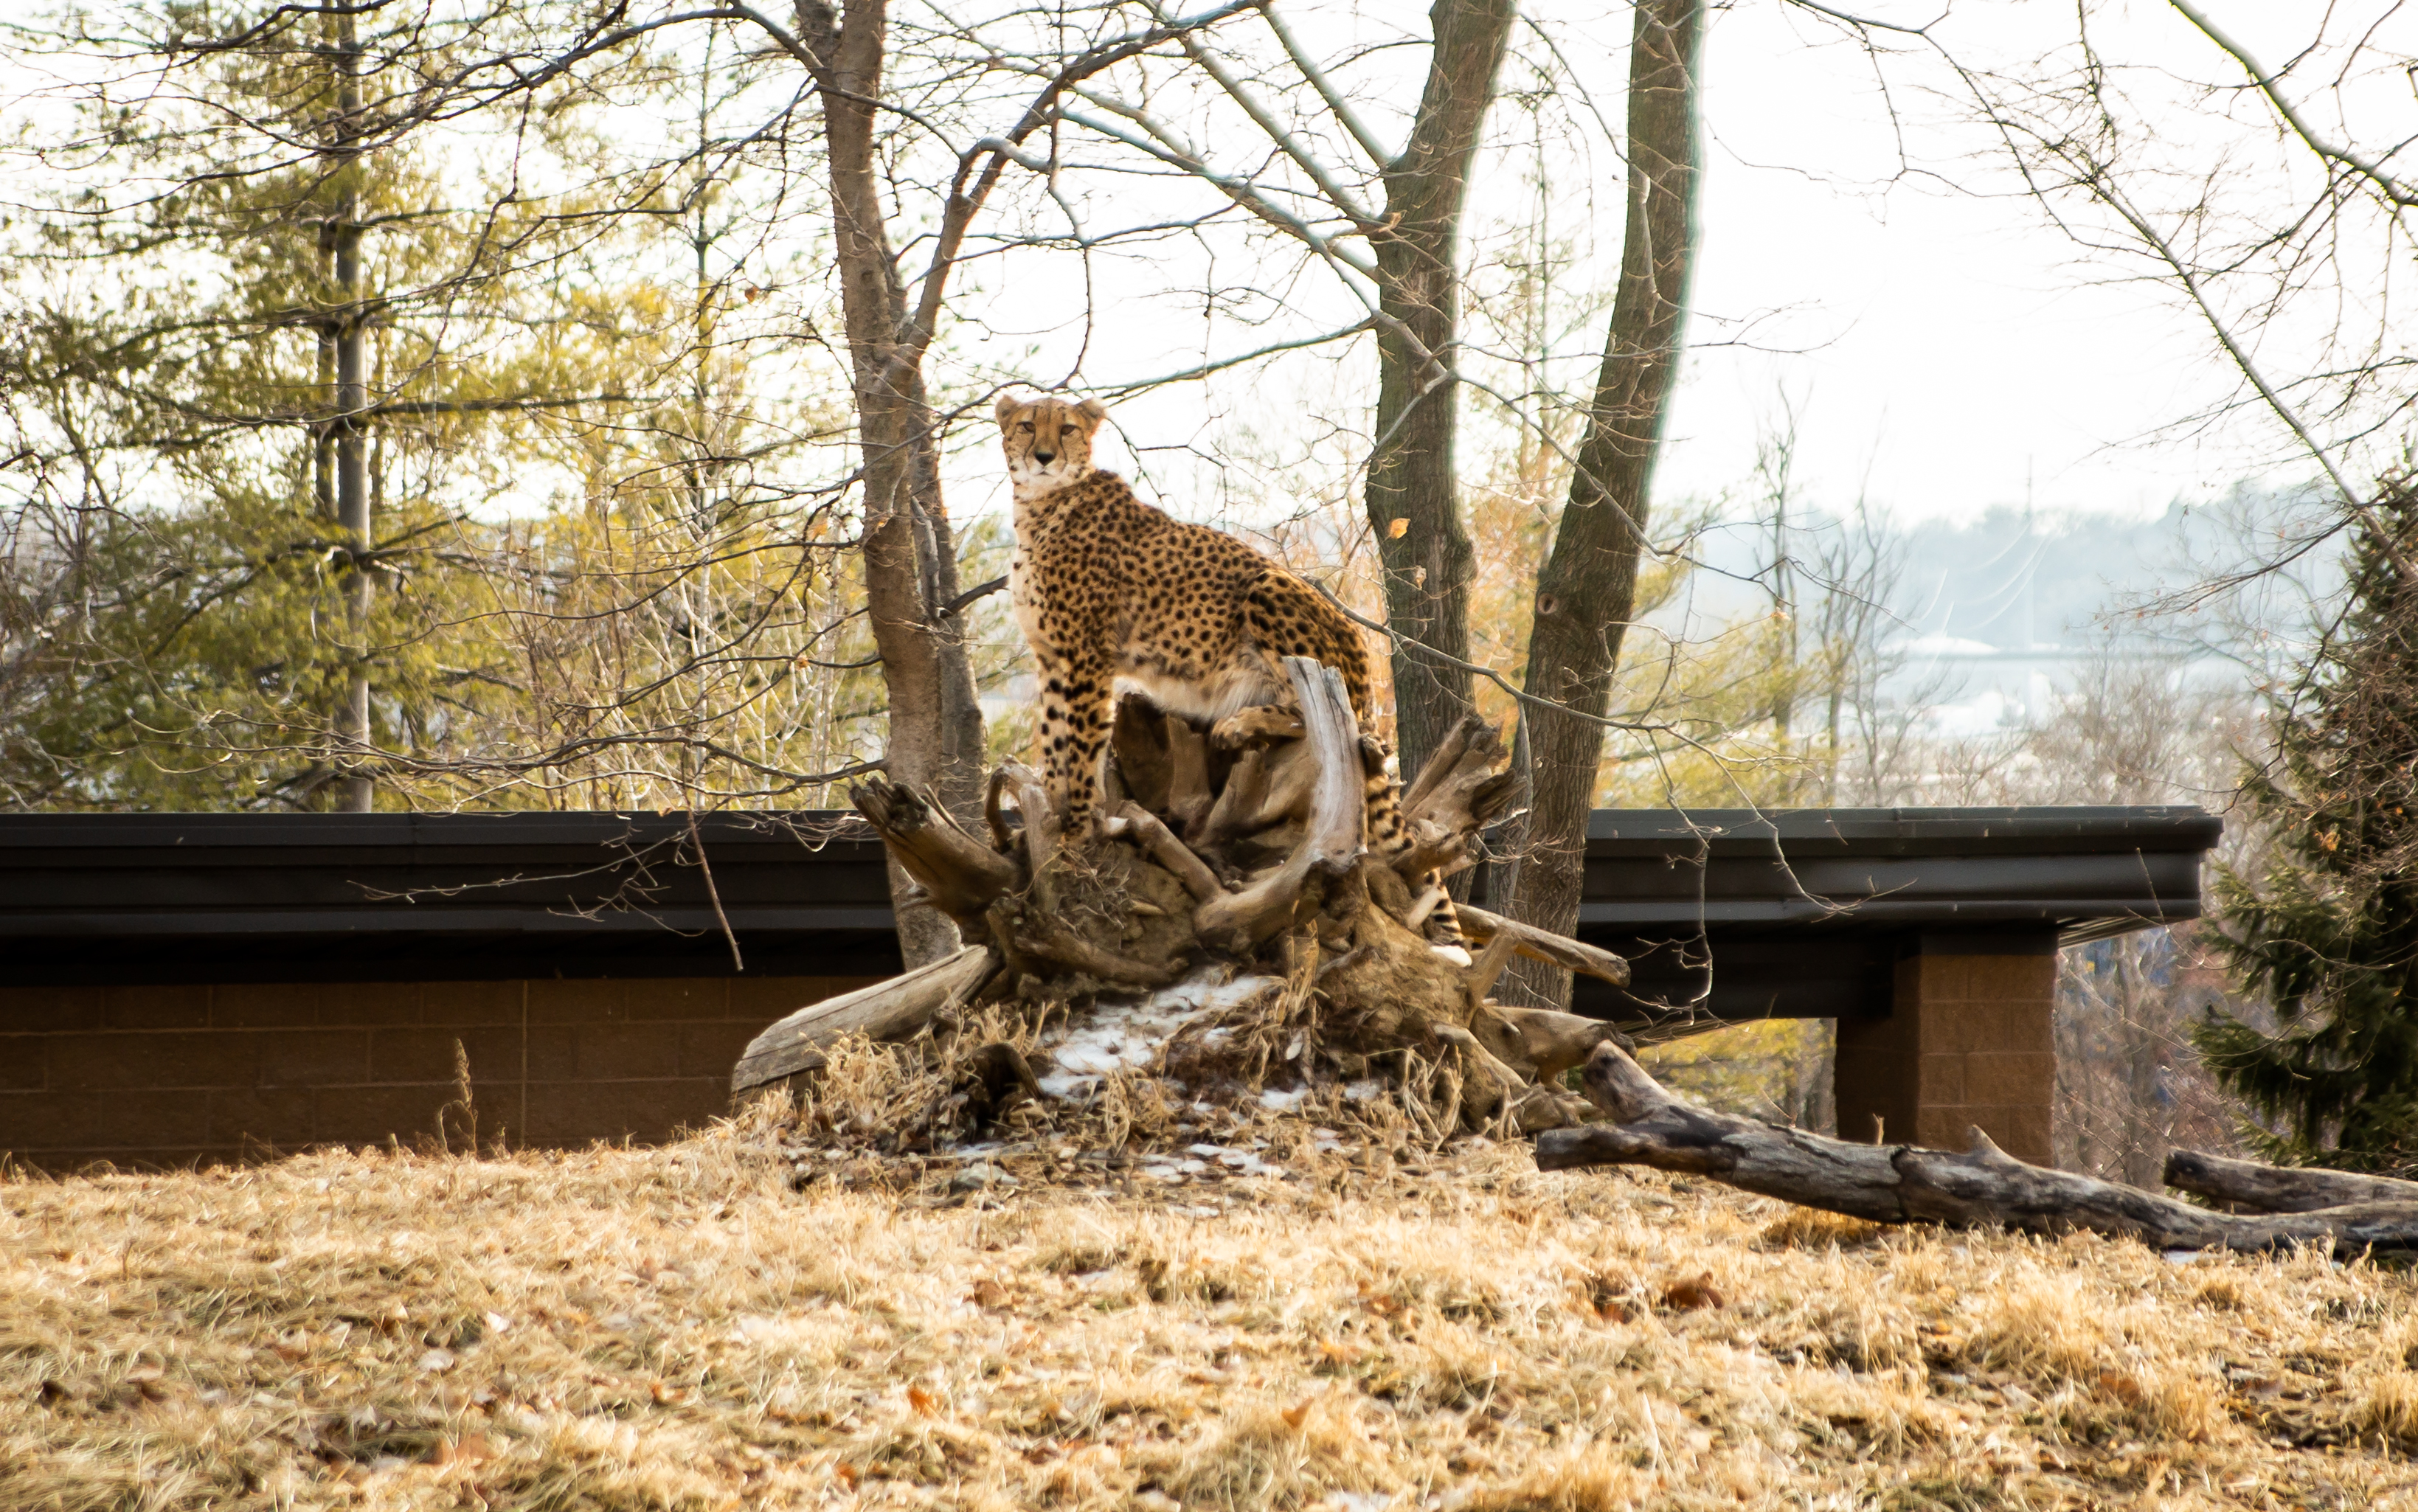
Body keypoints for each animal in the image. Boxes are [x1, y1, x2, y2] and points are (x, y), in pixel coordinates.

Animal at [996, 388, 1462, 945]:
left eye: (1066, 429)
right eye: (1027, 425)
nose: (1044, 457)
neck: (1041, 506)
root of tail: (1364, 659)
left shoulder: (1087, 655)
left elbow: (1083, 745)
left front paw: (1077, 831)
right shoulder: (1051, 657)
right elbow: (1054, 739)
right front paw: (1049, 811)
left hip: (1268, 589)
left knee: (1314, 713)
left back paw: (1241, 722)